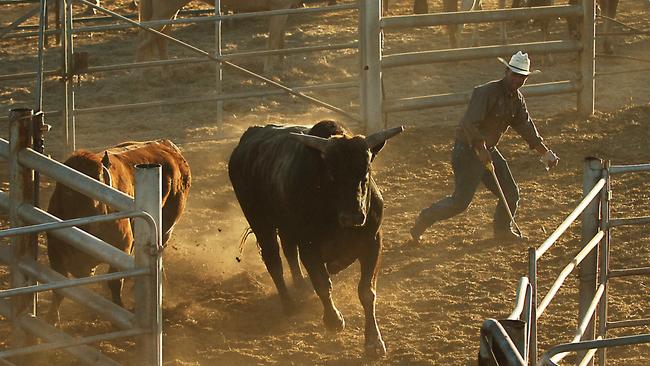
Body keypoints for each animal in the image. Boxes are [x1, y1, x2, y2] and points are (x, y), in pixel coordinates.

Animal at [46, 139, 190, 324]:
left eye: (100, 183)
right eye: (68, 191)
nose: (95, 213)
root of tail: (166, 145)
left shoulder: (122, 246)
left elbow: (114, 282)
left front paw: (119, 310)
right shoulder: (54, 249)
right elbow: (58, 284)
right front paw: (51, 316)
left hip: (166, 227)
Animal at [139, 0, 298, 72]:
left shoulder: (284, 9)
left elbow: (280, 38)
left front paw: (281, 64)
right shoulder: (279, 7)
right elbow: (273, 40)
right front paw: (268, 70)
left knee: (160, 37)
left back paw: (166, 72)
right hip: (166, 8)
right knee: (146, 36)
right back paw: (142, 74)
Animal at [227, 121, 400, 356]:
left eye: (365, 173)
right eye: (332, 176)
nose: (353, 216)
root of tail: (250, 134)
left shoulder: (372, 243)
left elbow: (366, 291)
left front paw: (373, 341)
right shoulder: (309, 246)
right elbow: (322, 284)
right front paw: (333, 320)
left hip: (286, 228)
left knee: (289, 251)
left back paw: (300, 285)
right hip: (261, 224)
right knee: (274, 262)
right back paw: (289, 304)